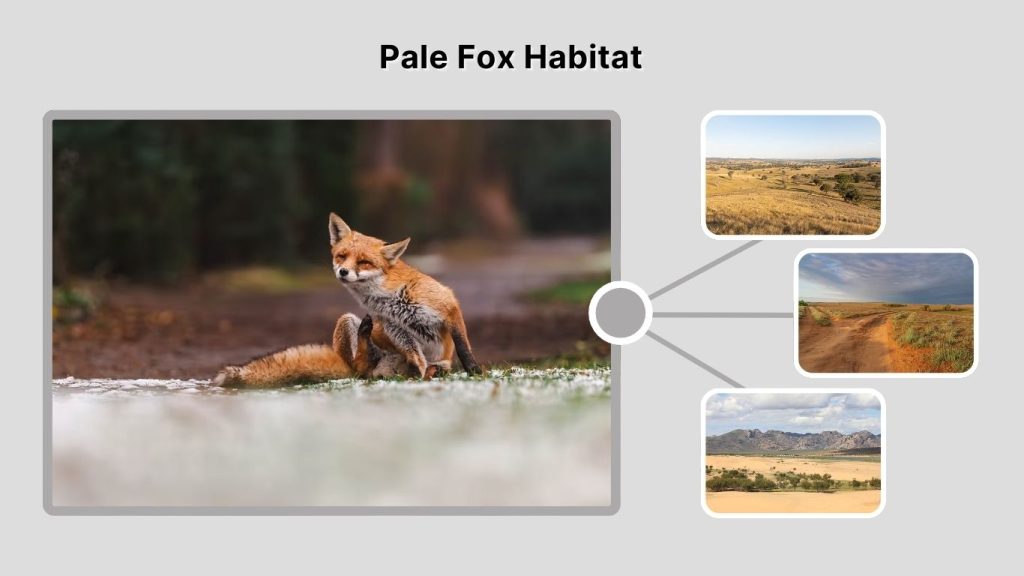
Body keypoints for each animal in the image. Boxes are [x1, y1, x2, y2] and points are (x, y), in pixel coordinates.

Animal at [213, 213, 482, 388]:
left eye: (364, 262)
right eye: (341, 256)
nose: (343, 272)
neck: (390, 297)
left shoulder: (448, 305)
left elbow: (463, 346)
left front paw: (474, 370)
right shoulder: (390, 324)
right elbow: (412, 350)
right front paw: (420, 367)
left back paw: (432, 371)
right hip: (347, 323)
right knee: (361, 367)